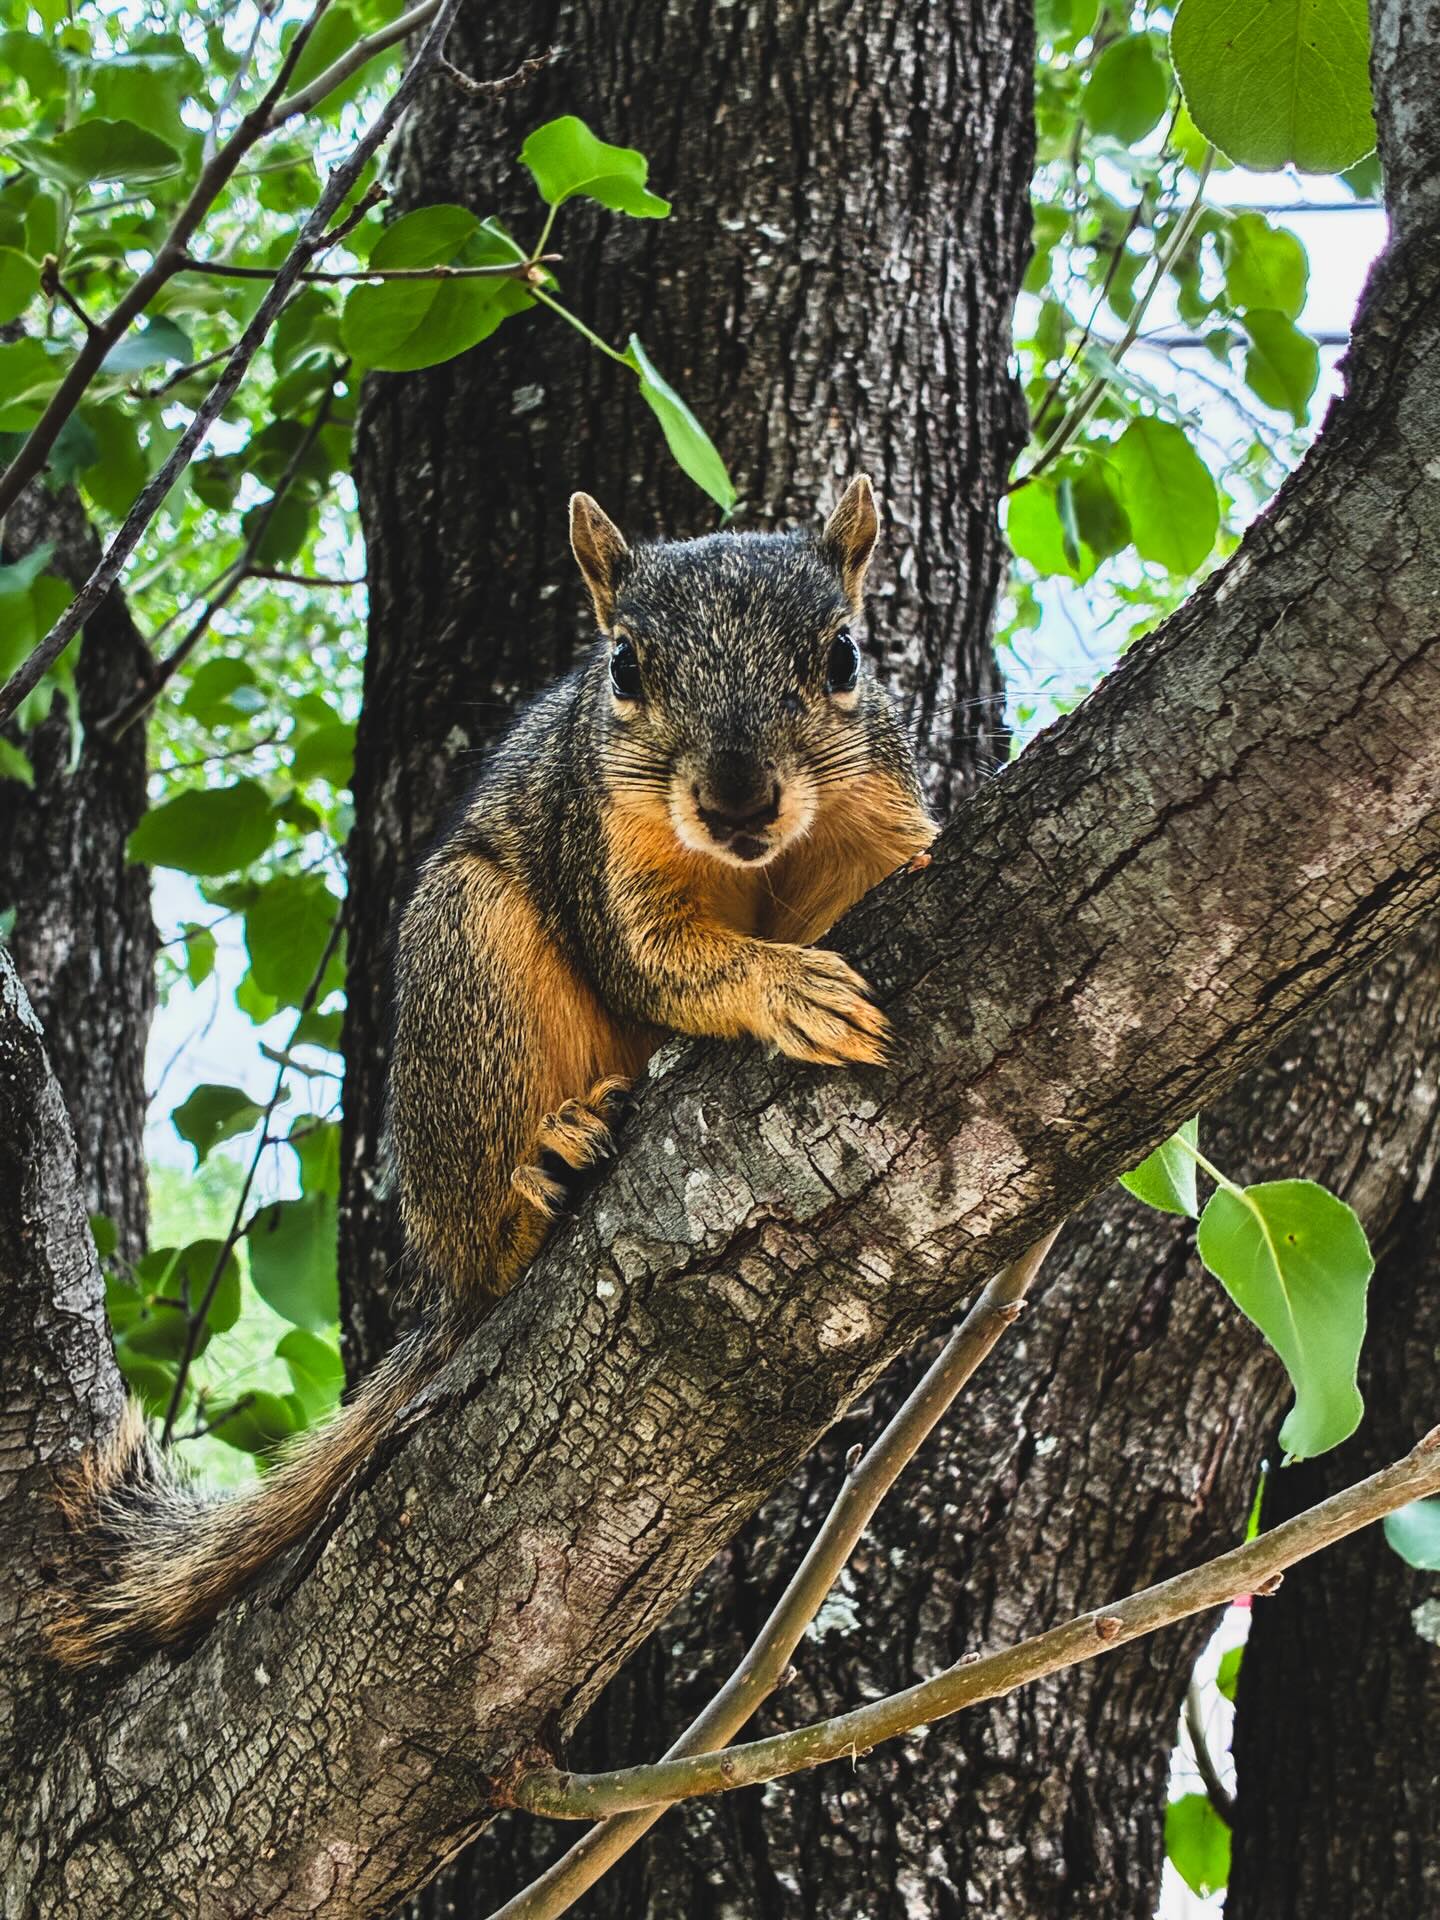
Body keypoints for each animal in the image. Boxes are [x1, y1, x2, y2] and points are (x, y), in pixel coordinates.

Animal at [49, 476, 936, 1668]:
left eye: (843, 657)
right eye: (625, 669)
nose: (739, 798)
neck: (756, 861)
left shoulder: (871, 814)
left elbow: (886, 866)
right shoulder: (604, 850)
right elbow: (659, 959)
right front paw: (785, 985)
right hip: (467, 960)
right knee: (494, 1224)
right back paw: (543, 1176)